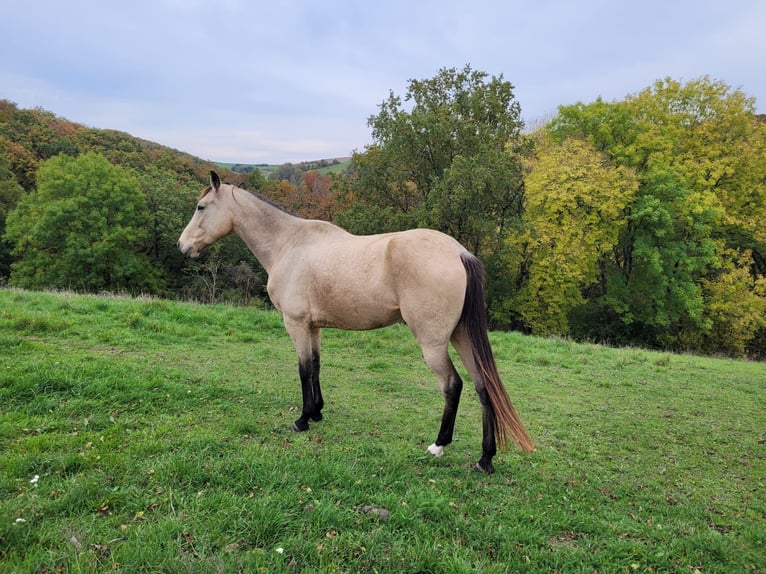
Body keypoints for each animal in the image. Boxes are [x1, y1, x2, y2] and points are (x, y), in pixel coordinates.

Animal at [178, 171, 533, 473]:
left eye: (201, 207)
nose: (182, 246)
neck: (288, 244)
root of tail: (460, 253)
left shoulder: (296, 324)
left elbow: (303, 369)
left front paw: (302, 420)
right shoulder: (314, 327)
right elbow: (316, 367)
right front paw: (317, 412)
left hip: (433, 343)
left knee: (453, 385)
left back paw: (439, 445)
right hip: (461, 336)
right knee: (483, 386)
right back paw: (485, 458)